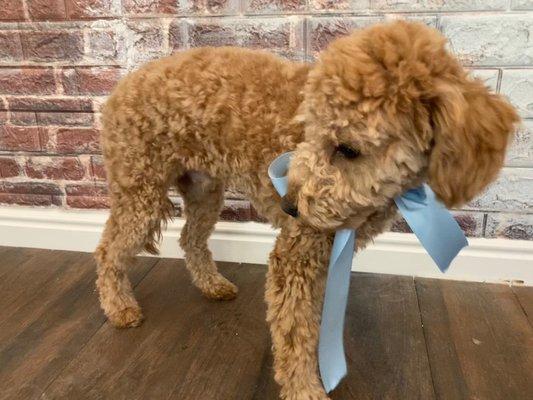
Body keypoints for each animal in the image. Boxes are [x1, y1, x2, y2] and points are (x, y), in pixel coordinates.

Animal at [93, 20, 516, 398]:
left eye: (349, 149)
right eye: (310, 128)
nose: (288, 205)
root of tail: (117, 90)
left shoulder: (325, 253)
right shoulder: (296, 256)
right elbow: (296, 334)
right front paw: (304, 390)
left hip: (203, 190)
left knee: (189, 239)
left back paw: (212, 284)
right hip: (141, 191)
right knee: (108, 250)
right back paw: (119, 307)